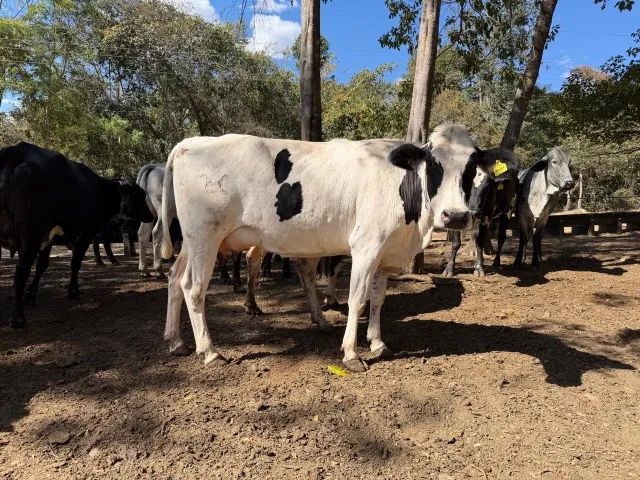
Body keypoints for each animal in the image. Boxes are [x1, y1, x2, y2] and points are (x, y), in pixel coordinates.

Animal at [0, 142, 153, 328]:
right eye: (140, 195)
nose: (152, 215)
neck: (99, 189)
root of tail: (16, 151)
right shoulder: (84, 234)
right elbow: (75, 262)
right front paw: (73, 290)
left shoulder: (49, 238)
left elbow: (42, 265)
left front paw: (30, 295)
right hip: (31, 234)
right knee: (21, 271)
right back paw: (18, 318)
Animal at [158, 124, 512, 372]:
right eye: (433, 163)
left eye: (472, 167)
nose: (456, 216)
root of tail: (192, 143)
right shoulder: (366, 246)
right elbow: (357, 299)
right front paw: (352, 354)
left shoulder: (386, 252)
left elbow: (378, 300)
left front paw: (378, 343)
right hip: (205, 237)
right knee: (193, 288)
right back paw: (209, 351)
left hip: (193, 241)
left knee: (174, 278)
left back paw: (175, 341)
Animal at [442, 147, 521, 277]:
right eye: (465, 181)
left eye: (488, 187)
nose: (473, 212)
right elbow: (456, 243)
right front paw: (449, 268)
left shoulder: (485, 216)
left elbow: (479, 241)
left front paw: (479, 268)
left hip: (507, 211)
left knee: (501, 237)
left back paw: (496, 263)